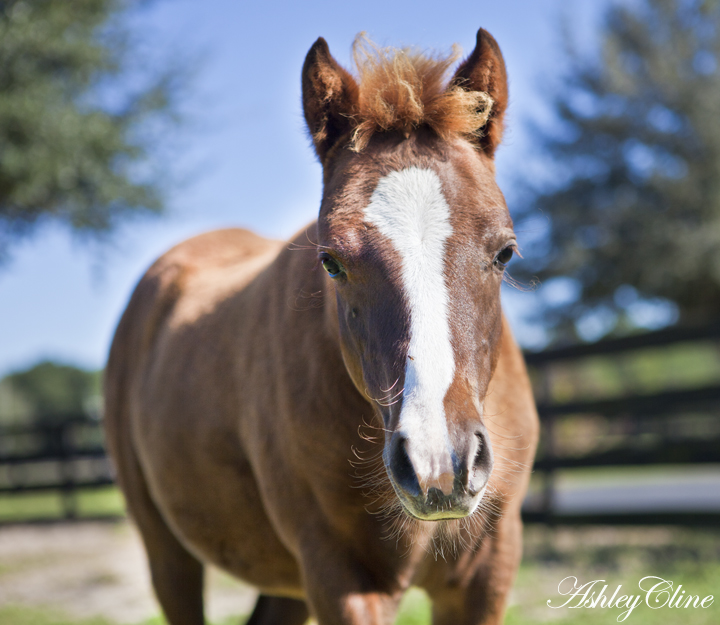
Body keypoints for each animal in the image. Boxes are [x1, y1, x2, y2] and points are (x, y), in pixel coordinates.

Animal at [104, 28, 536, 624]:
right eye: (331, 261)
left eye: (504, 253)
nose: (439, 464)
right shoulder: (341, 579)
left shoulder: (487, 576)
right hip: (168, 552)